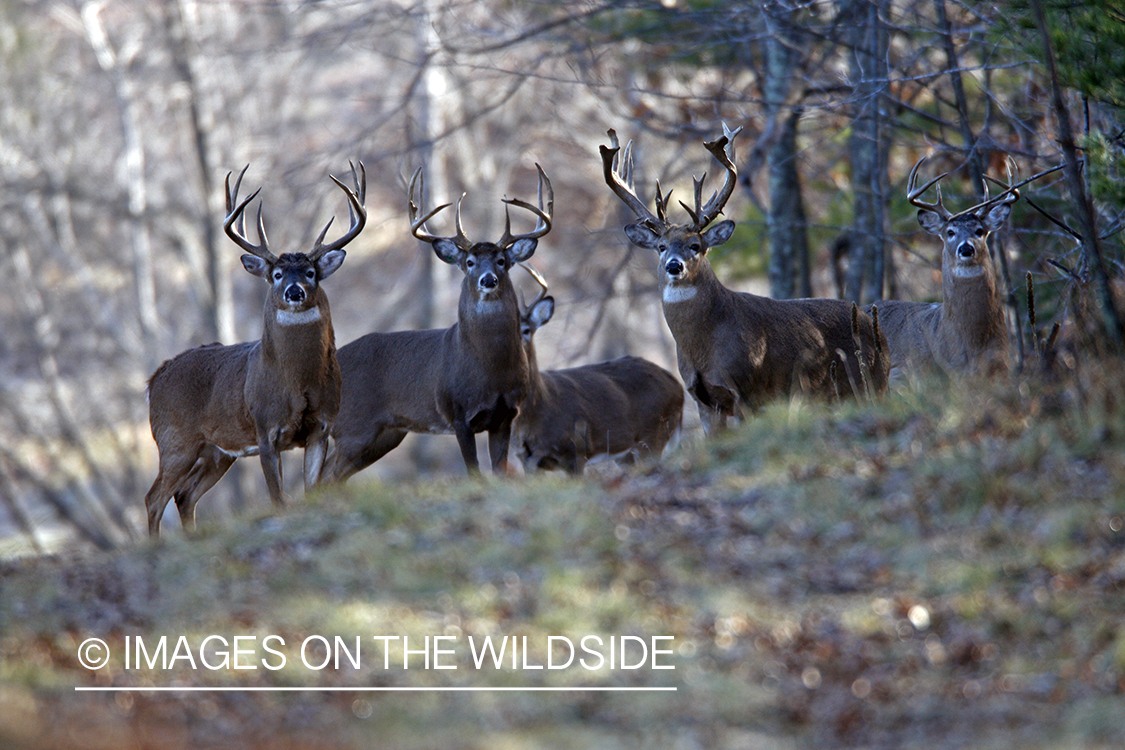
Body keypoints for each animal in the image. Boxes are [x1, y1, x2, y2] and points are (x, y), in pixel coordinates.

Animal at [144, 164, 364, 537]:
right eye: (276, 274)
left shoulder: (321, 427)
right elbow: (277, 499)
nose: (294, 291)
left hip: (217, 452)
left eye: (310, 272)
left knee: (185, 495)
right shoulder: (265, 429)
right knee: (154, 497)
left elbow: (311, 490)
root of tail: (155, 378)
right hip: (175, 440)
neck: (298, 383)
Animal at [324, 164, 551, 481]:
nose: (488, 280)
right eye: (469, 262)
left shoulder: (505, 416)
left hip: (385, 434)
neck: (491, 368)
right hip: (353, 425)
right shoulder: (457, 413)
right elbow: (473, 471)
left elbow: (499, 470)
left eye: (502, 260)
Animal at [513, 265, 684, 474]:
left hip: (654, 434)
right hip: (626, 454)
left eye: (526, 330)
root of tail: (677, 384)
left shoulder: (576, 451)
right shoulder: (525, 460)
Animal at [598, 125, 886, 431]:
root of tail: (874, 326)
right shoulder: (701, 398)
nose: (674, 266)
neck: (703, 346)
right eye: (661, 247)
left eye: (695, 246)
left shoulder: (747, 388)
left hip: (871, 381)